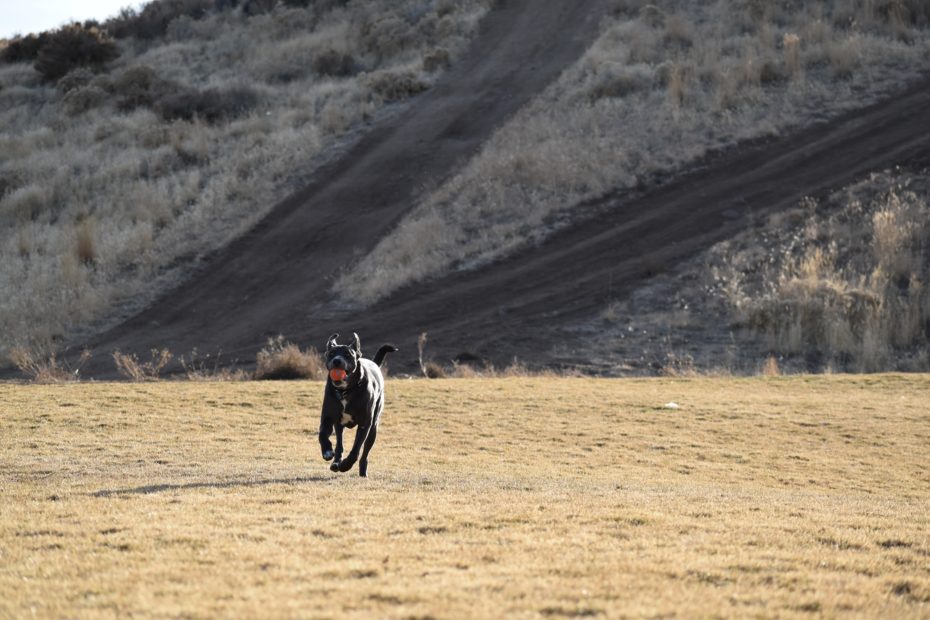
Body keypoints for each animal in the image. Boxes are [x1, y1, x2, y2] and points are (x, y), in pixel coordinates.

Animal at [320, 332, 396, 478]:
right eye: (331, 353)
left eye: (348, 354)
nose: (337, 361)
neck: (346, 391)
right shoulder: (327, 417)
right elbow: (322, 434)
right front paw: (327, 451)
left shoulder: (364, 424)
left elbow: (356, 448)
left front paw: (346, 465)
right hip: (339, 426)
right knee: (339, 444)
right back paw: (335, 463)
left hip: (373, 429)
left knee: (364, 452)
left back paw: (361, 471)